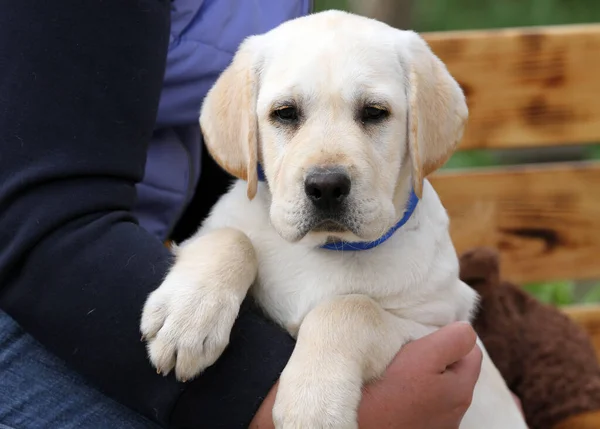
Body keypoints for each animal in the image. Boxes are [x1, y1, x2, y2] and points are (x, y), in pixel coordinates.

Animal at [139, 10, 524, 428]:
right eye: (285, 113)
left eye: (374, 112)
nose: (326, 186)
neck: (324, 249)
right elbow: (230, 236)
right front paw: (186, 319)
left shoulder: (438, 330)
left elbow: (349, 308)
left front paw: (313, 405)